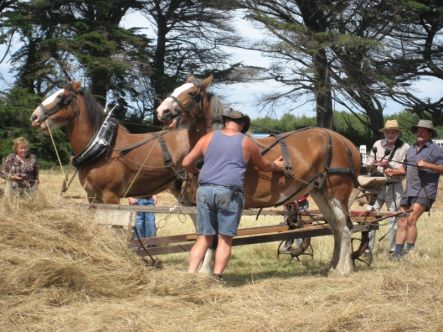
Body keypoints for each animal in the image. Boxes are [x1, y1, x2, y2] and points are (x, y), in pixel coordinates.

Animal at [158, 74, 362, 274]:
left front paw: (205, 272)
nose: (162, 110)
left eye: (192, 93)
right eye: (176, 89)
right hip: (319, 192)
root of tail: (347, 143)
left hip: (337, 193)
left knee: (344, 228)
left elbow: (214, 238)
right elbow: (207, 236)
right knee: (335, 227)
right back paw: (333, 265)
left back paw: (343, 269)